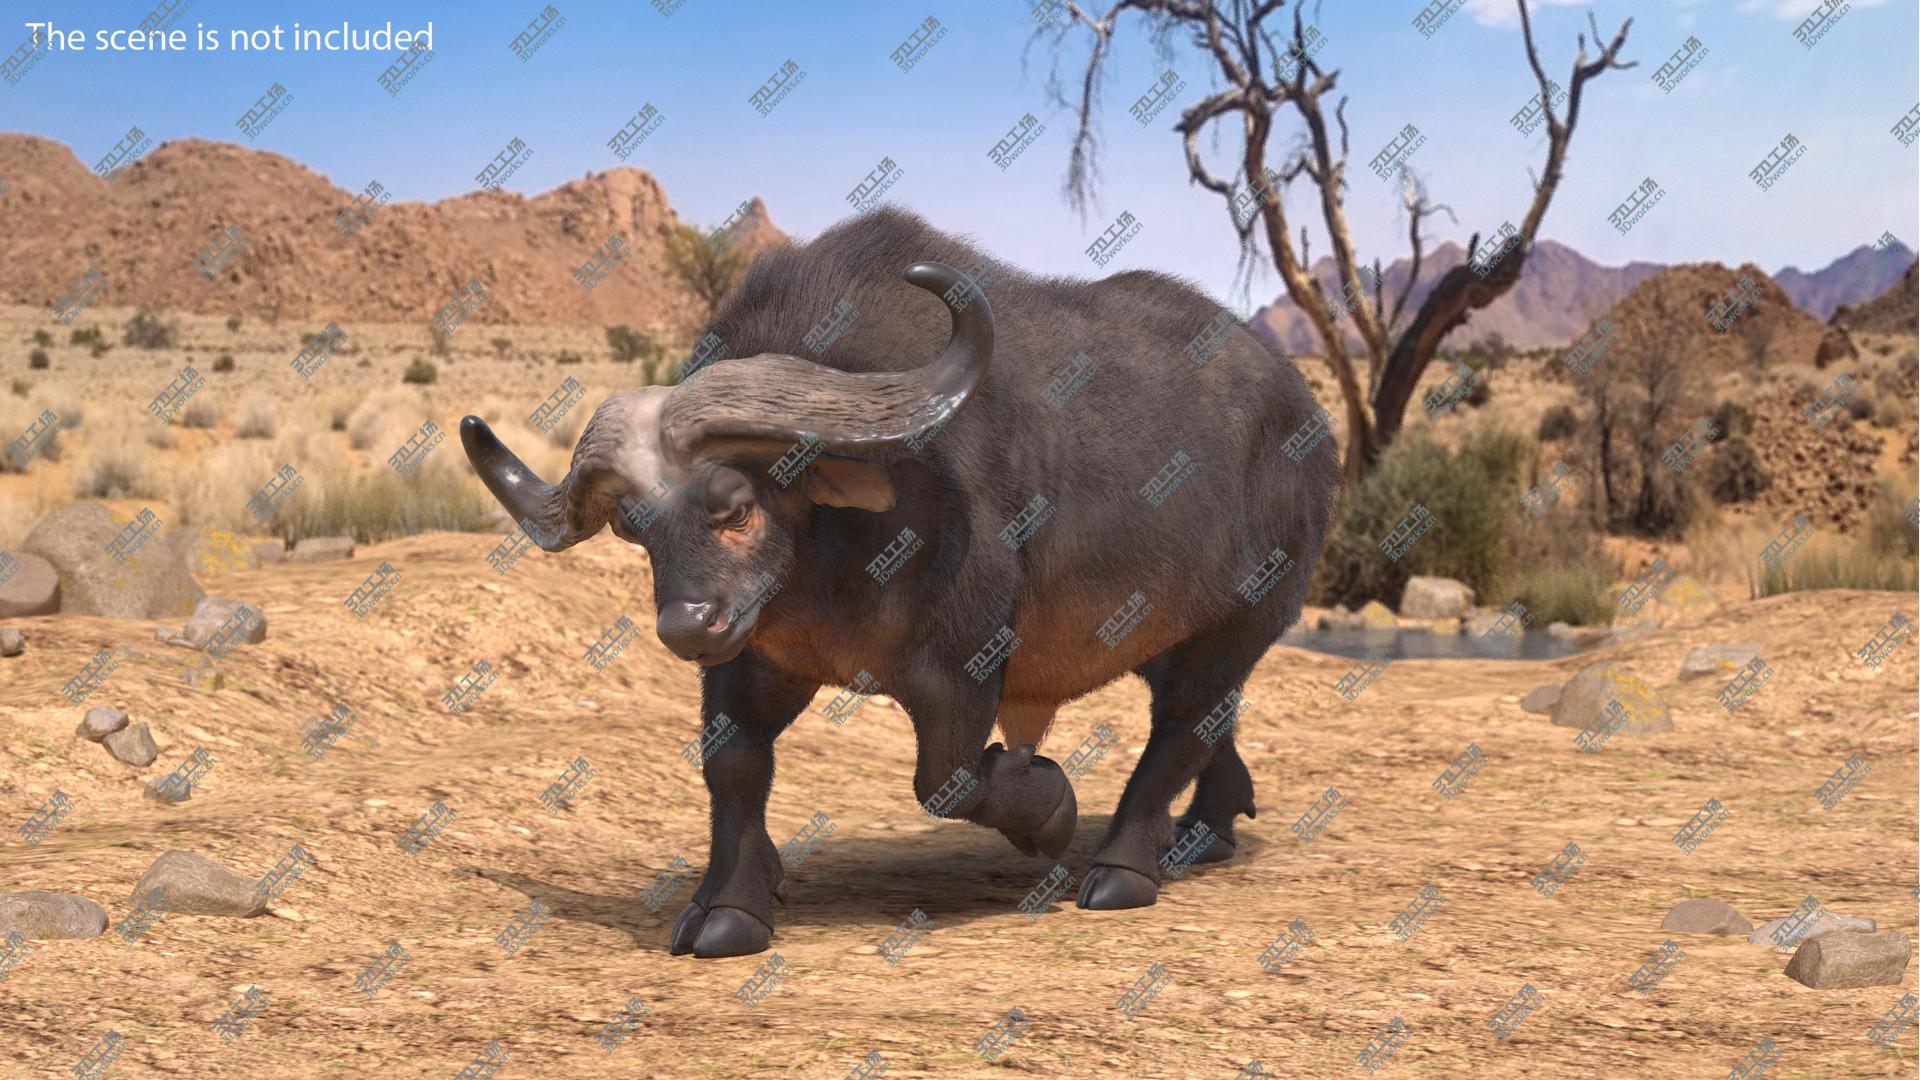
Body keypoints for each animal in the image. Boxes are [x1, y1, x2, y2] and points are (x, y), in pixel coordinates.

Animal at [460, 208, 1339, 957]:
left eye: (735, 507)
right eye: (635, 526)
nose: (687, 625)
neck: (833, 553)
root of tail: (1307, 417)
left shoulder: (963, 665)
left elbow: (945, 780)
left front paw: (1052, 811)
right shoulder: (755, 656)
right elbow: (733, 766)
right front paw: (733, 906)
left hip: (1244, 617)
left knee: (1182, 725)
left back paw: (1122, 866)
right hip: (1171, 634)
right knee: (1206, 720)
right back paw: (1204, 830)